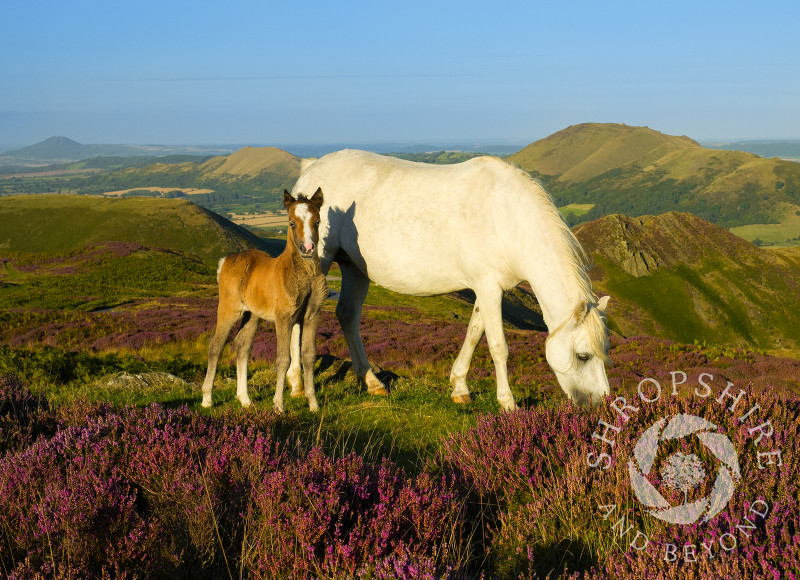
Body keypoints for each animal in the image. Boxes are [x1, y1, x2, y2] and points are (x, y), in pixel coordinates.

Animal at [202, 188, 330, 410]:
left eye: (317, 221)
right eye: (291, 222)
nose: (308, 249)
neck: (304, 275)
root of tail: (225, 260)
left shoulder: (312, 316)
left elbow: (308, 356)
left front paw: (313, 404)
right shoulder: (284, 318)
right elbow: (283, 359)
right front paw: (278, 406)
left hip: (251, 315)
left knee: (242, 345)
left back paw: (245, 399)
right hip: (230, 309)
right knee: (216, 344)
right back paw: (207, 398)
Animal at [290, 151, 608, 412]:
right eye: (583, 356)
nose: (600, 405)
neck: (507, 217)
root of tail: (311, 167)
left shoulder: (487, 289)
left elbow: (474, 333)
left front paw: (459, 387)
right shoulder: (489, 288)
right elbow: (498, 346)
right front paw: (508, 403)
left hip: (355, 268)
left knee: (347, 315)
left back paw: (371, 382)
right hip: (316, 259)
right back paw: (295, 384)